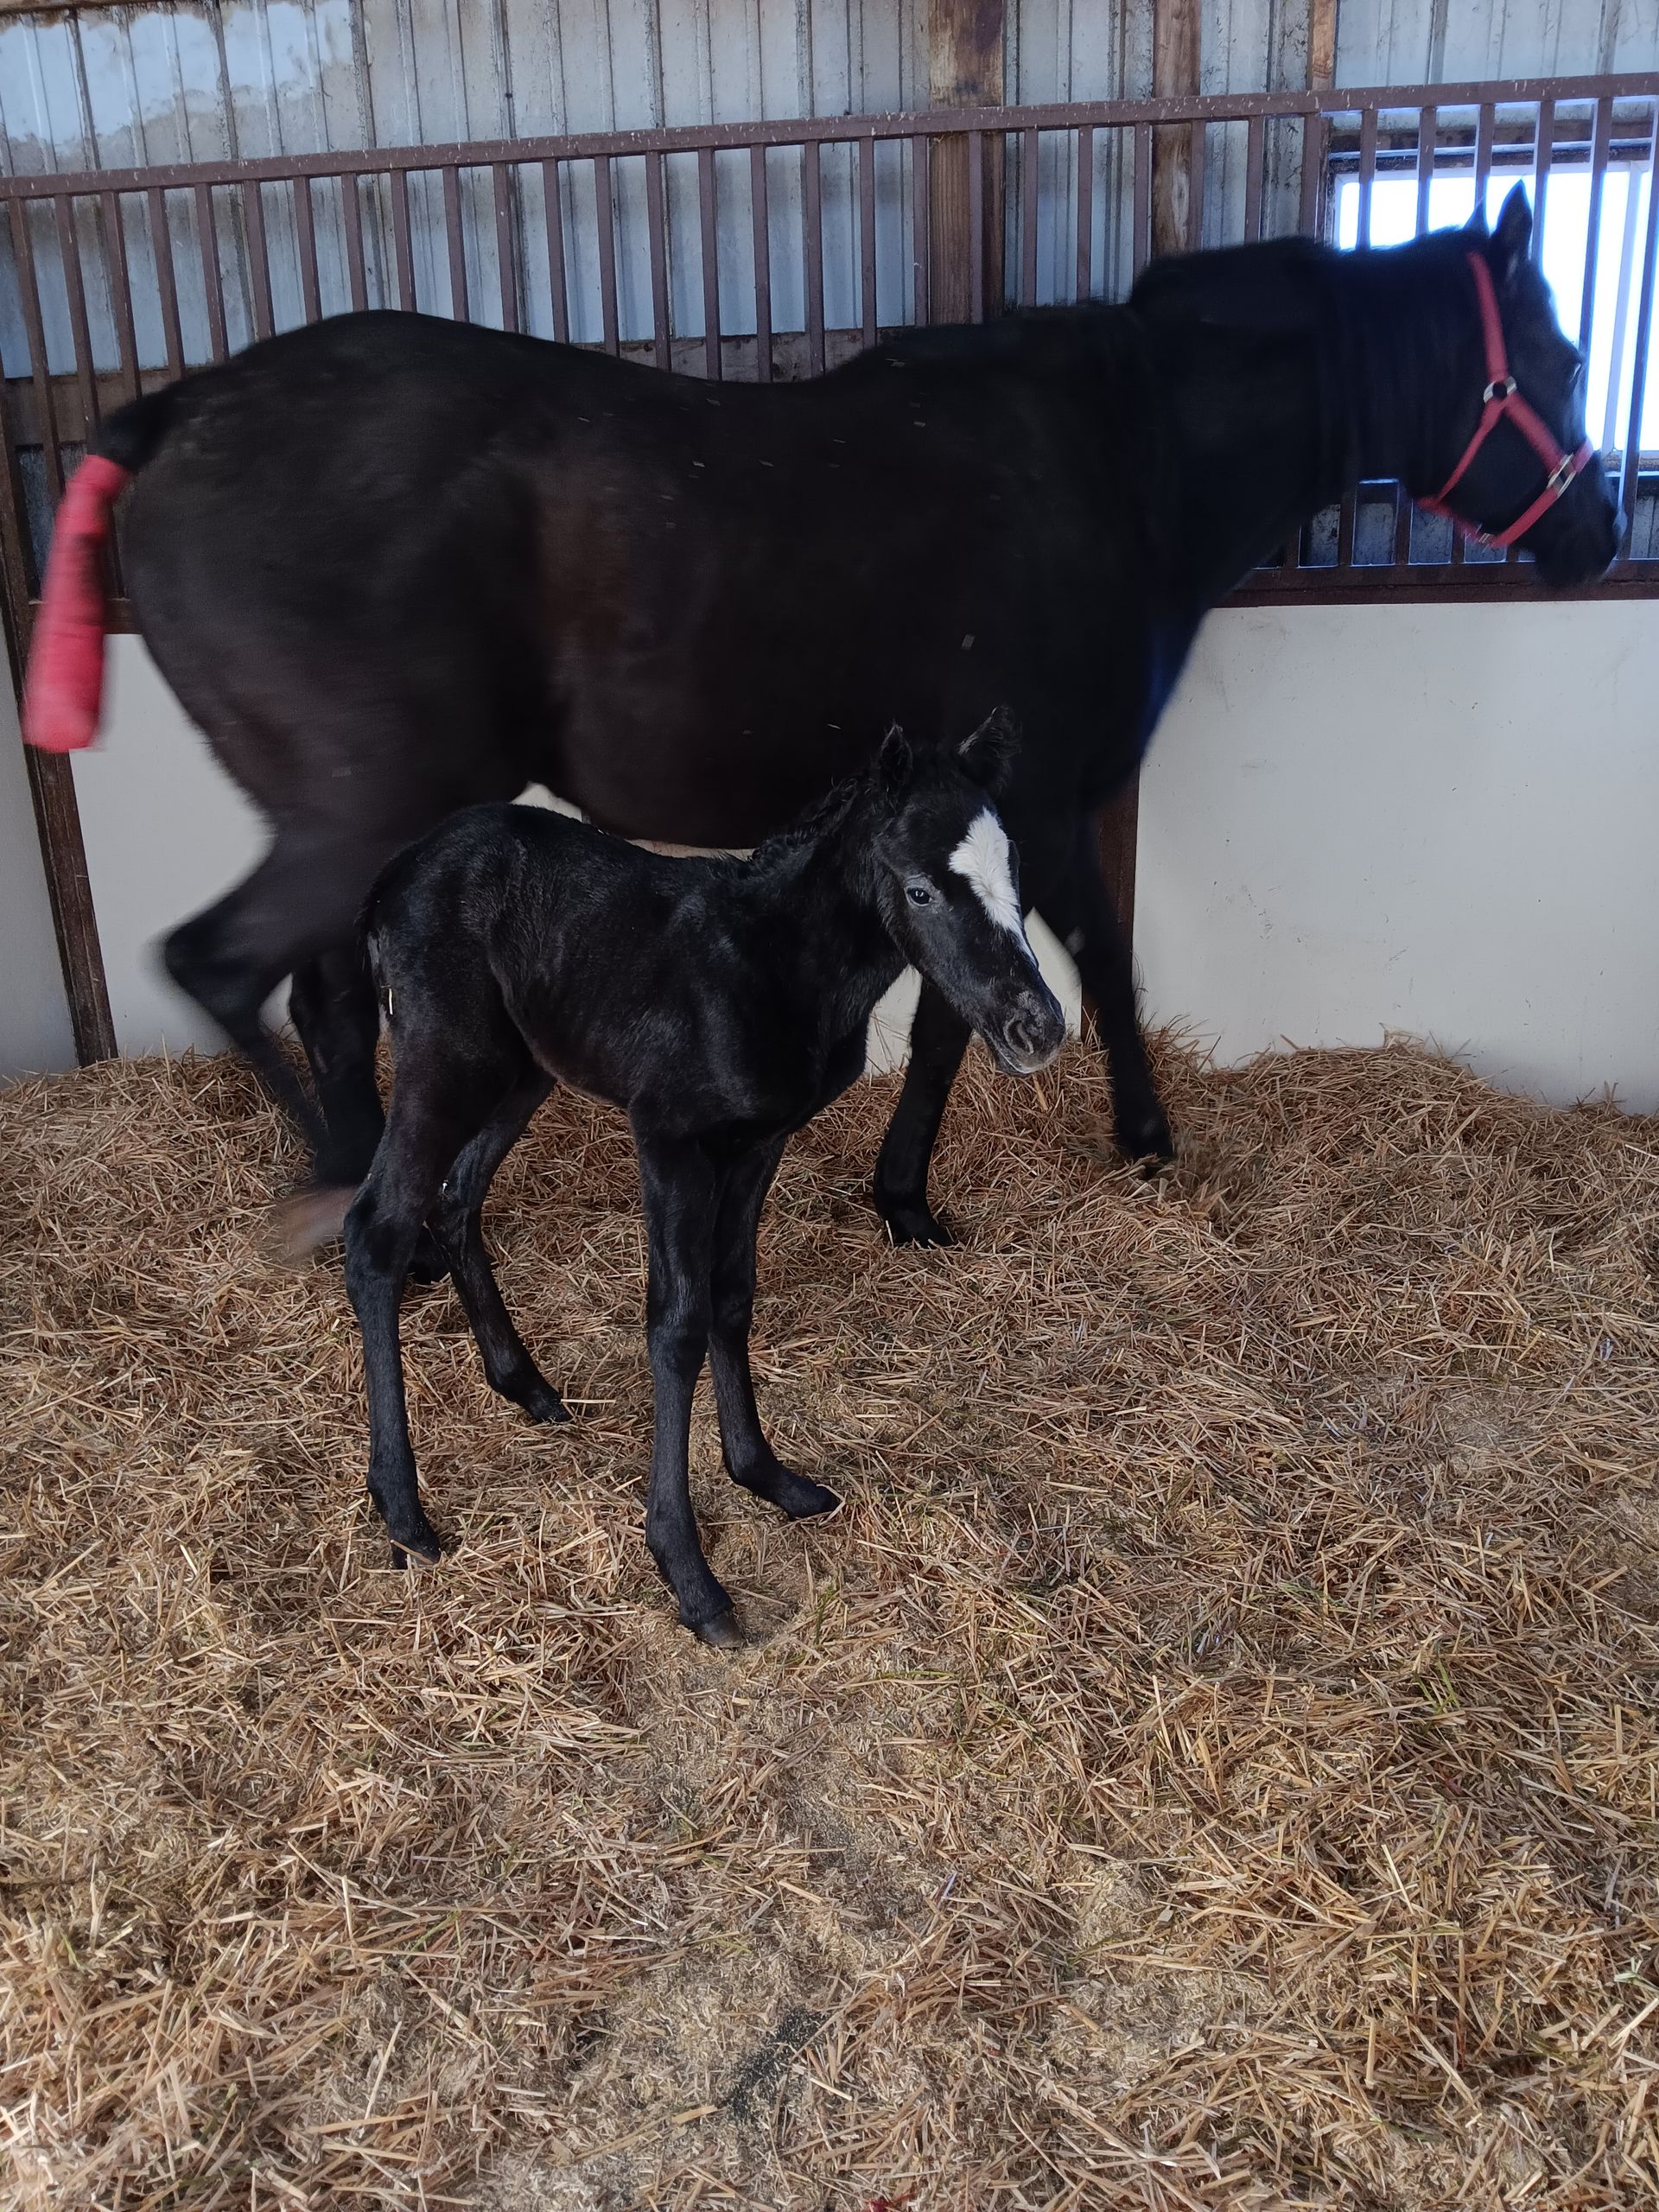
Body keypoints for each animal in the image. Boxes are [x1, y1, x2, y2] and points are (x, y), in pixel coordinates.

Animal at [23, 184, 1618, 1246]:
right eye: (1558, 361)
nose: (1599, 534)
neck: (1125, 465)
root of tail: (174, 415)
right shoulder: (1037, 801)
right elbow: (1076, 971)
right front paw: (1119, 1144)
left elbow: (972, 1005)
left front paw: (913, 1188)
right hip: (364, 801)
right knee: (227, 966)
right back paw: (345, 1198)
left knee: (317, 993)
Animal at [346, 716, 1064, 1644]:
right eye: (919, 890)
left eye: (1014, 873)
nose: (1037, 1026)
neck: (769, 965)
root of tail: (394, 871)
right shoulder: (673, 1139)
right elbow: (677, 1325)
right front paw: (688, 1573)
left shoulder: (758, 1142)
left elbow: (732, 1296)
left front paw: (765, 1473)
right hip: (446, 1062)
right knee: (380, 1232)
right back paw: (403, 1511)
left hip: (521, 1068)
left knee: (456, 1198)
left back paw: (525, 1385)